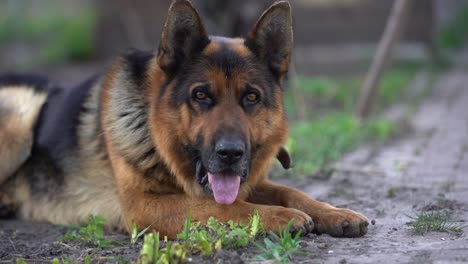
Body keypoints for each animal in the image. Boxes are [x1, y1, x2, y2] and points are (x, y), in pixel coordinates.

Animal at [0, 0, 370, 239]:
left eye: (251, 98)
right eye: (201, 95)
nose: (230, 153)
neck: (155, 137)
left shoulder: (246, 180)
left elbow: (291, 192)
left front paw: (334, 213)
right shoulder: (145, 206)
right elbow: (226, 208)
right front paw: (284, 218)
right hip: (23, 114)